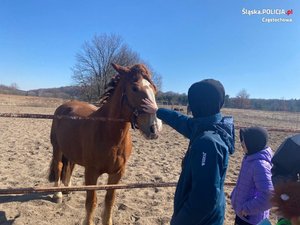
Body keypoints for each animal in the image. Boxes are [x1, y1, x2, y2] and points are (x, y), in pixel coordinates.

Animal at [48, 63, 162, 225]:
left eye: (154, 89)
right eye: (134, 88)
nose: (154, 128)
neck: (108, 133)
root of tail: (65, 105)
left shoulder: (117, 173)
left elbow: (109, 201)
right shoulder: (91, 173)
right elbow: (91, 202)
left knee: (70, 165)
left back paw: (67, 188)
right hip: (57, 148)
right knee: (59, 166)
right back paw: (58, 194)